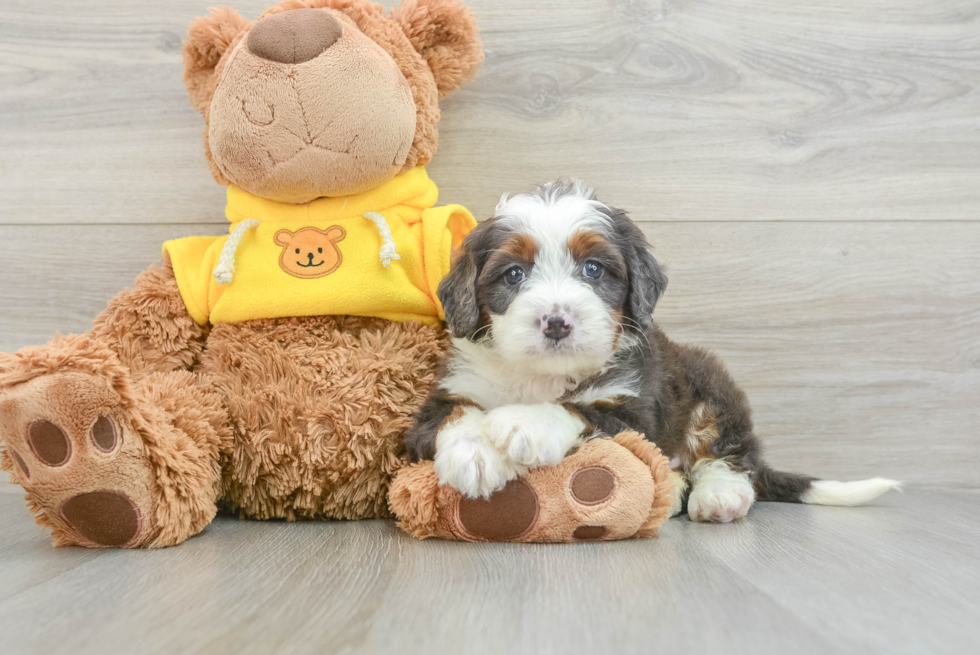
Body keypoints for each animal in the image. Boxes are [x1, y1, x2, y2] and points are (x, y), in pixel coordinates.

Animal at [402, 179, 900, 524]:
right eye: (513, 274)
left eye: (593, 269)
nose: (557, 322)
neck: (541, 374)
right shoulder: (444, 397)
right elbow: (455, 414)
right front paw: (474, 453)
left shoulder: (637, 413)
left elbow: (580, 410)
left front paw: (524, 422)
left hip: (709, 381)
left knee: (730, 452)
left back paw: (719, 495)